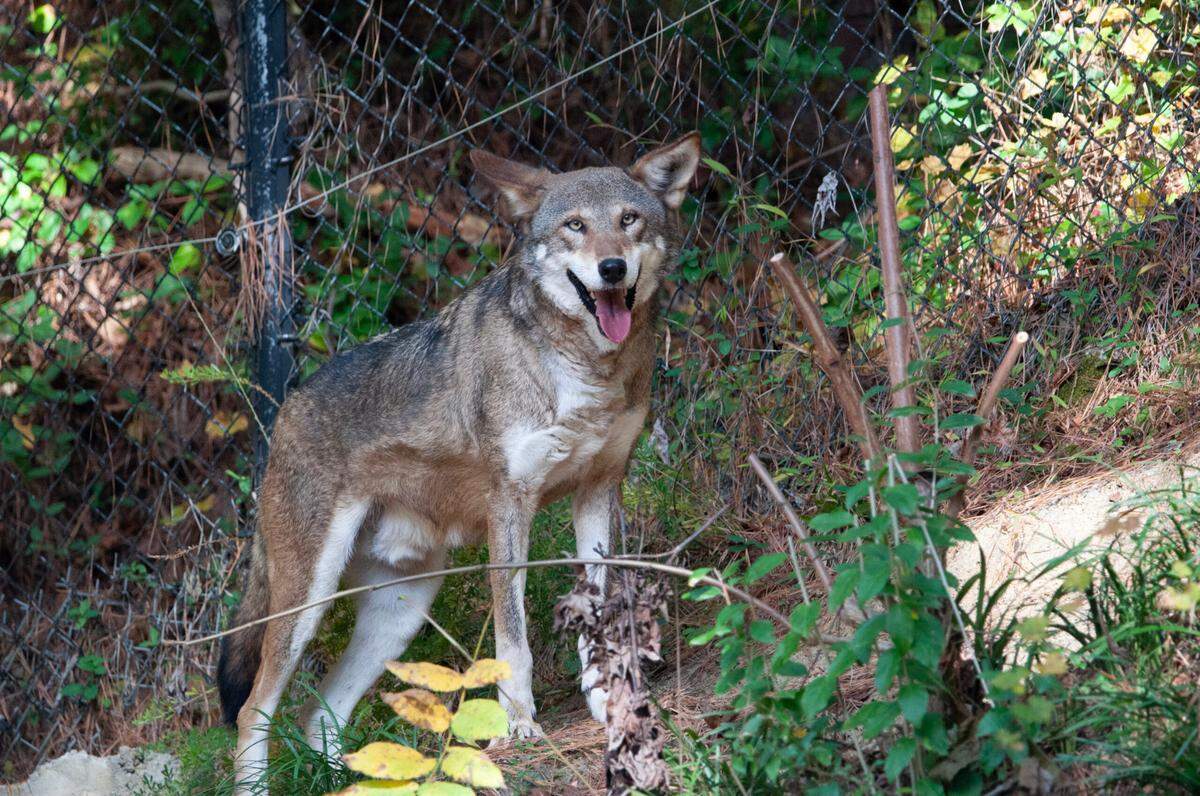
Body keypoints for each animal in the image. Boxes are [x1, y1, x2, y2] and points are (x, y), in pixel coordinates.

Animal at [215, 132, 700, 791]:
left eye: (629, 220)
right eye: (575, 225)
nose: (612, 268)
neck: (585, 372)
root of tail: (283, 413)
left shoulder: (599, 491)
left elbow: (601, 619)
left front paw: (610, 704)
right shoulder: (510, 507)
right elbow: (512, 640)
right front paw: (518, 727)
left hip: (400, 613)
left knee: (320, 714)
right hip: (306, 605)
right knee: (253, 712)